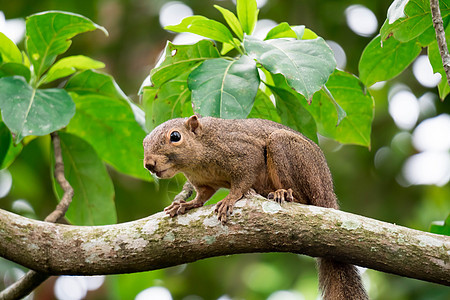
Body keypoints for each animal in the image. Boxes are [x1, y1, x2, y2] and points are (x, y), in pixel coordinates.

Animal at [144, 115, 370, 300]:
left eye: (175, 136)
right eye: (144, 143)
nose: (149, 164)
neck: (198, 157)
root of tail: (327, 192)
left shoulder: (242, 151)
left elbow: (242, 180)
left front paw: (230, 199)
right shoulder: (202, 182)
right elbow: (202, 196)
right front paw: (184, 204)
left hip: (289, 152)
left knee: (302, 197)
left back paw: (284, 193)